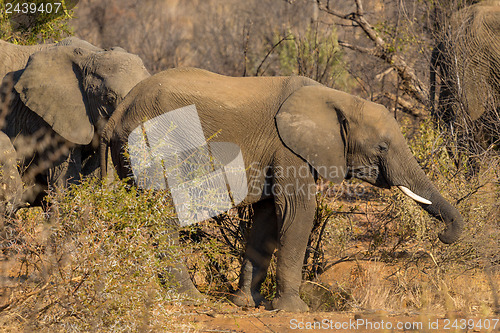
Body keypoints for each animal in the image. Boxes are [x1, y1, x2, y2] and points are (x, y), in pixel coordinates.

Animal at [100, 67, 464, 312]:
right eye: (383, 147)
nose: (443, 236)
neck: (339, 98)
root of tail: (119, 113)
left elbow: (267, 220)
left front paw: (247, 303)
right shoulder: (289, 150)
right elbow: (298, 211)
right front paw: (293, 309)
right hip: (153, 146)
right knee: (164, 214)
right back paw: (189, 298)